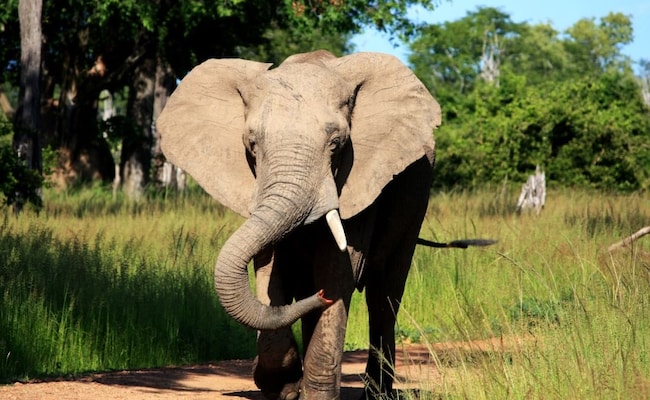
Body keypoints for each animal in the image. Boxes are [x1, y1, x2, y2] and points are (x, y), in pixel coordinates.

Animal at [156, 50, 440, 400]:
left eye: (336, 143)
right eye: (252, 144)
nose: (323, 297)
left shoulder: (360, 182)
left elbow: (339, 271)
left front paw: (311, 394)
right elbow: (267, 272)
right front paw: (284, 388)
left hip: (416, 201)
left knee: (384, 295)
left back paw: (377, 394)